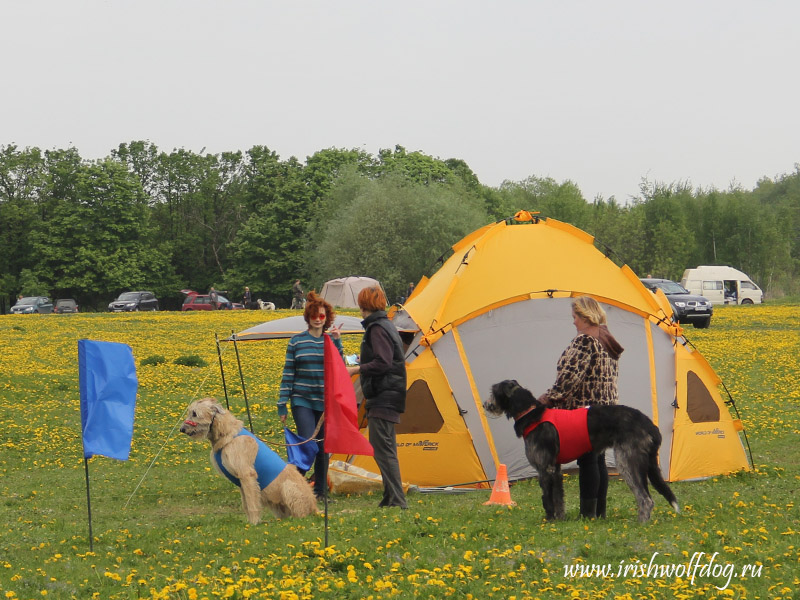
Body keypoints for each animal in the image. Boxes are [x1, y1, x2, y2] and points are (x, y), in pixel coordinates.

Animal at [181, 398, 318, 524]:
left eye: (194, 413)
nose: (181, 429)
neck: (226, 433)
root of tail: (315, 507)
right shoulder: (240, 482)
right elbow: (246, 504)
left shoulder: (247, 475)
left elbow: (252, 504)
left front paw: (254, 523)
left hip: (288, 487)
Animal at [484, 382, 680, 524]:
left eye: (493, 391)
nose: (485, 404)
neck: (531, 414)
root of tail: (650, 425)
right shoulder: (556, 469)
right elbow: (558, 498)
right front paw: (560, 520)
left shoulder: (544, 468)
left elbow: (547, 498)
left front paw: (548, 520)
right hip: (641, 463)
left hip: (627, 461)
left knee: (645, 499)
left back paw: (640, 524)